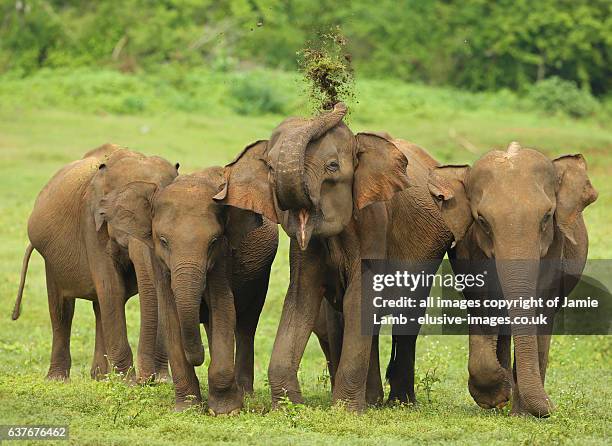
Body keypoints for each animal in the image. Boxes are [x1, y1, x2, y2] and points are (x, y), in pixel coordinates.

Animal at [11, 145, 177, 382]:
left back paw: (100, 377)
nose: (147, 380)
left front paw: (161, 381)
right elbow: (111, 287)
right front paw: (128, 383)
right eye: (120, 216)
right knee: (62, 308)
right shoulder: (91, 221)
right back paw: (59, 379)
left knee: (100, 307)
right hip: (51, 260)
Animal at [104, 167, 278, 414]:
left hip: (260, 276)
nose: (198, 357)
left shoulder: (223, 255)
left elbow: (223, 306)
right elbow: (170, 314)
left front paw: (226, 412)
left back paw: (245, 394)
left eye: (213, 241)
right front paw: (187, 408)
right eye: (163, 241)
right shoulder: (158, 261)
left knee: (246, 325)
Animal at [215, 102, 454, 412]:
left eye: (332, 167)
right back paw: (373, 400)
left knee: (406, 317)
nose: (334, 104)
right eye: (269, 167)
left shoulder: (374, 224)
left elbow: (359, 298)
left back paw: (399, 403)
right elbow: (301, 298)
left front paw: (346, 410)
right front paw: (291, 407)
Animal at [430, 141, 596, 416]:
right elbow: (482, 303)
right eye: (482, 220)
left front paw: (522, 411)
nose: (553, 406)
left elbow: (541, 309)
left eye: (547, 216)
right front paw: (496, 394)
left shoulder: (555, 248)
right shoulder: (469, 250)